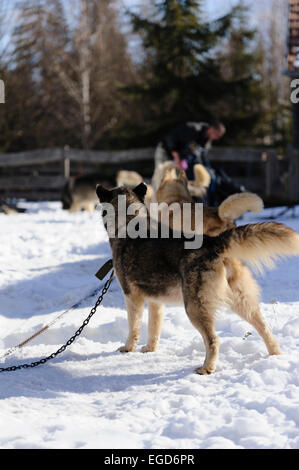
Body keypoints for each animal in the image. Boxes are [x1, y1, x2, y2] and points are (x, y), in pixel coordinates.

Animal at [96, 184, 299, 374]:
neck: (129, 221)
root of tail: (213, 242)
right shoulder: (156, 302)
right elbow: (154, 328)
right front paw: (150, 349)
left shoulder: (131, 296)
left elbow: (134, 327)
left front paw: (128, 348)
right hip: (241, 302)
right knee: (265, 328)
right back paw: (275, 355)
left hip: (194, 307)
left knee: (213, 340)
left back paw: (206, 368)